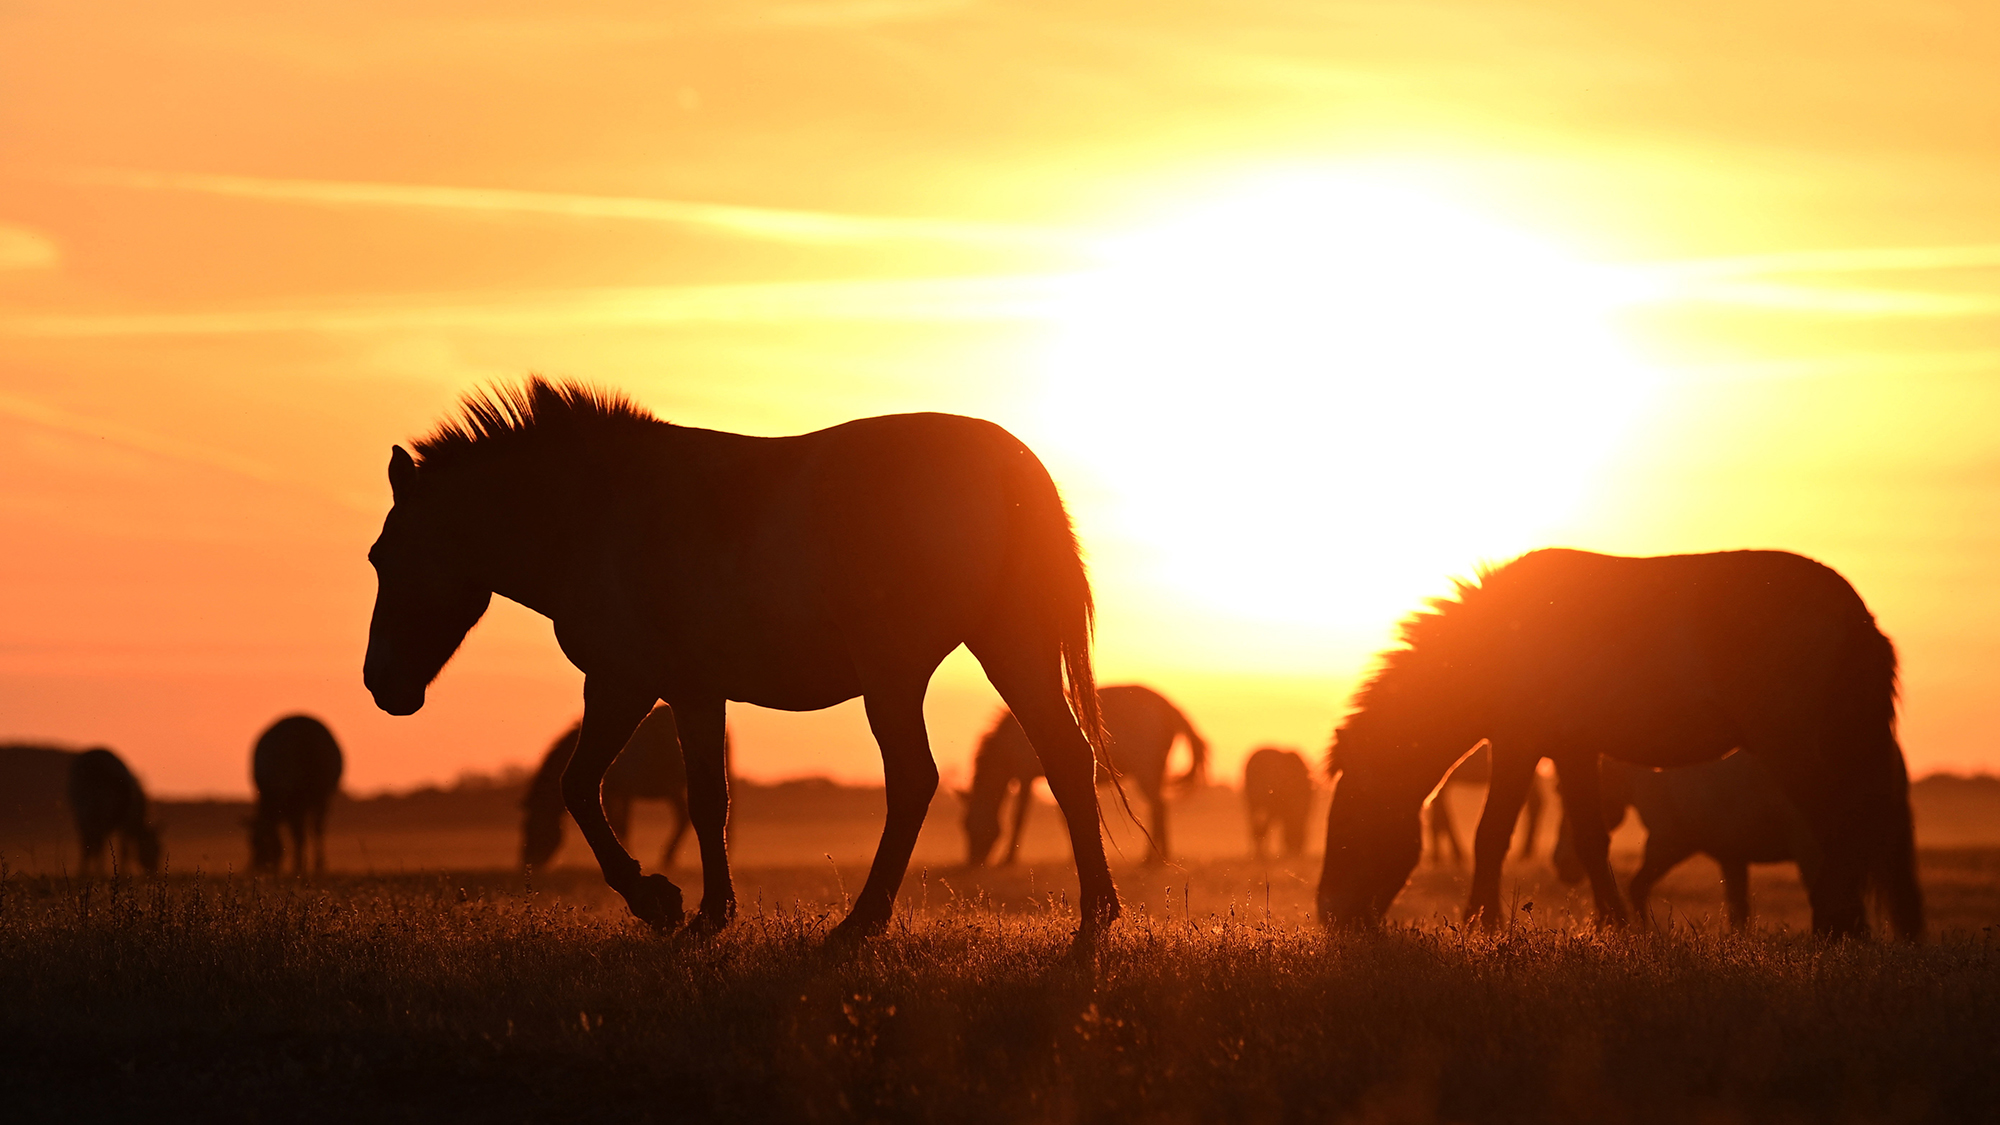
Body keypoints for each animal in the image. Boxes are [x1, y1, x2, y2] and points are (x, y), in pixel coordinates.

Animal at [248, 714, 344, 874]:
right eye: (252, 842)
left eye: (258, 842)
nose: (257, 866)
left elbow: (298, 835)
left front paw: (298, 866)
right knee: (310, 831)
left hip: (317, 799)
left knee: (314, 830)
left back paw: (313, 865)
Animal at [521, 704, 705, 871]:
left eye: (532, 827)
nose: (527, 862)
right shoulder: (618, 794)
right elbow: (619, 824)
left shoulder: (616, 793)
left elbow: (620, 825)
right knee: (682, 817)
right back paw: (668, 859)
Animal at [961, 684, 1207, 866]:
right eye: (963, 825)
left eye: (972, 825)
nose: (973, 862)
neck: (1009, 743)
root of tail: (1170, 708)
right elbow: (1064, 816)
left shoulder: (1025, 776)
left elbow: (1019, 817)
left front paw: (1009, 859)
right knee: (1159, 807)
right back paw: (1158, 857)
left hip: (1146, 770)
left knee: (1158, 807)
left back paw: (1152, 859)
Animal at [1552, 751, 1821, 929]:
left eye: (1561, 792)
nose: (1560, 862)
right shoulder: (1732, 856)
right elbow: (1738, 911)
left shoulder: (1668, 843)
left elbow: (1637, 886)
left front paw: (1646, 935)